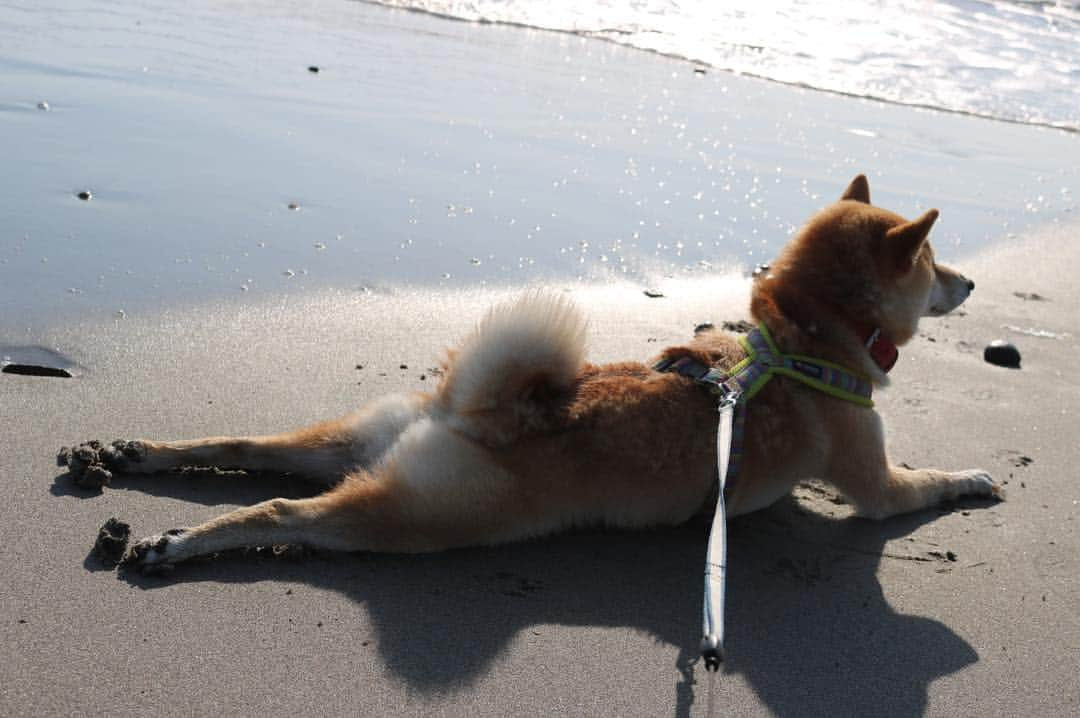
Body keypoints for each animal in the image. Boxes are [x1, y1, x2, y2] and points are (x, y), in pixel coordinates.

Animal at [61, 172, 1002, 565]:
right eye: (933, 262)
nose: (971, 282)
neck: (799, 341)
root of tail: (469, 413)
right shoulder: (876, 485)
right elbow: (923, 483)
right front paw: (975, 477)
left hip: (355, 441)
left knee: (250, 447)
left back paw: (137, 455)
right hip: (415, 517)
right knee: (286, 509)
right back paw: (178, 543)